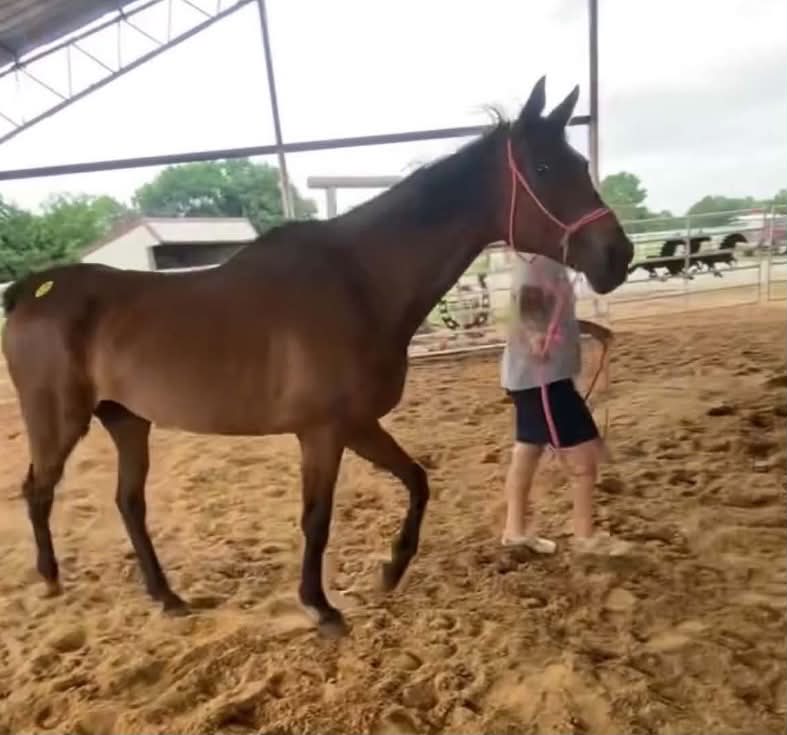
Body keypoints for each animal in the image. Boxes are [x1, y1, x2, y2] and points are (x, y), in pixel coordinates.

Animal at [1, 77, 634, 637]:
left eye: (580, 164)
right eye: (546, 169)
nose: (619, 256)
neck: (360, 281)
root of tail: (31, 292)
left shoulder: (357, 424)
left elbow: (417, 481)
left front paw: (390, 571)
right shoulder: (323, 431)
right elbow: (317, 518)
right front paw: (320, 607)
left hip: (128, 421)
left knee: (129, 503)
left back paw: (168, 597)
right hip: (59, 421)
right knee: (39, 491)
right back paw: (52, 580)